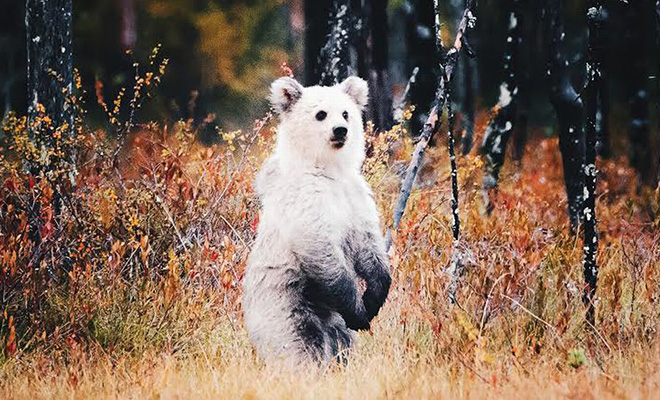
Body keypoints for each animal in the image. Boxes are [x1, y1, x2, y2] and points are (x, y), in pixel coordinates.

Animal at [242, 76, 392, 368]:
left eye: (346, 113)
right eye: (321, 113)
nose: (341, 131)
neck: (328, 170)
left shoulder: (354, 196)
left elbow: (370, 245)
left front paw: (373, 298)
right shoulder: (306, 201)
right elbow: (320, 247)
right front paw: (358, 311)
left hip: (330, 322)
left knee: (341, 342)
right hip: (284, 302)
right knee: (298, 344)